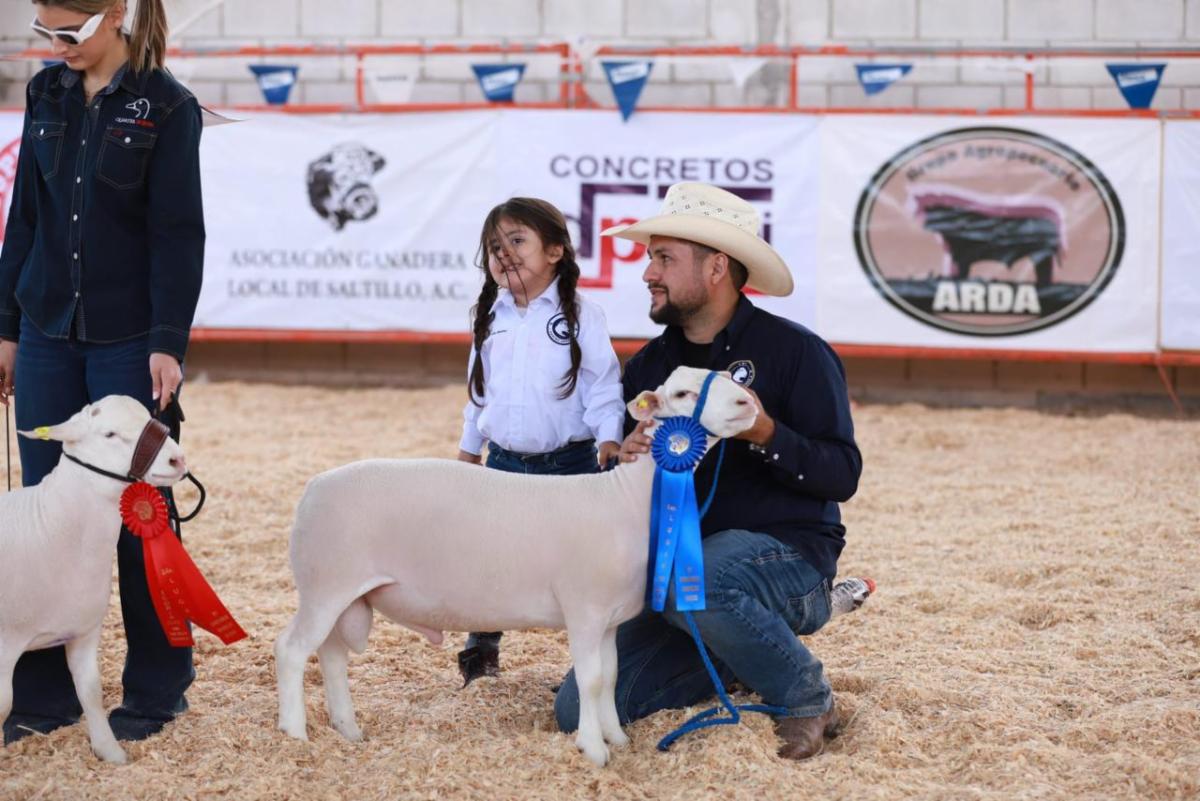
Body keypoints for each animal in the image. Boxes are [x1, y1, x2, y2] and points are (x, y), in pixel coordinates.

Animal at [0, 395, 187, 762]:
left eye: (149, 416)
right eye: (109, 434)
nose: (177, 458)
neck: (48, 524)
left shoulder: (83, 631)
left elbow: (90, 690)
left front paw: (110, 751)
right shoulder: (4, 644)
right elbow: (4, 704)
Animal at [276, 366, 753, 767]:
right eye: (682, 393)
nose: (747, 401)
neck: (624, 498)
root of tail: (313, 487)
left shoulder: (610, 619)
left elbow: (612, 676)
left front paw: (616, 737)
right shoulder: (584, 611)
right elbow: (591, 680)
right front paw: (593, 749)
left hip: (342, 594)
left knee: (331, 653)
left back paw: (347, 729)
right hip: (325, 585)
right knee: (292, 650)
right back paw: (295, 734)